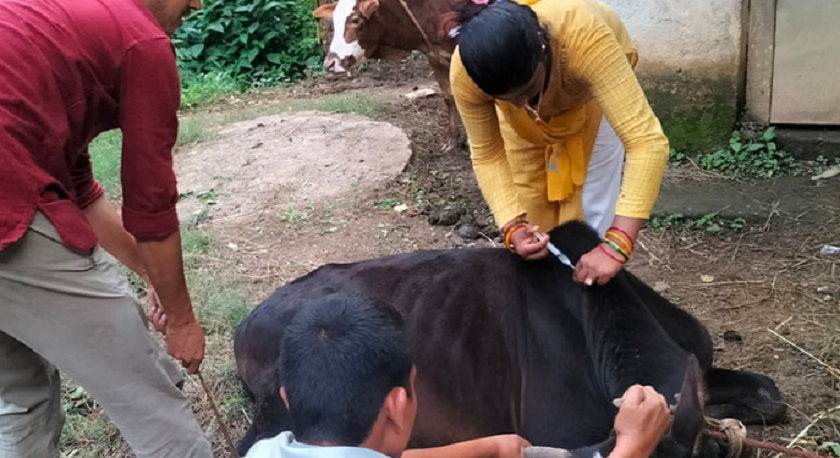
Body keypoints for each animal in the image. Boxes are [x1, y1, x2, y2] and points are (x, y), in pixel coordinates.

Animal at [316, 0, 462, 149]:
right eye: (334, 21)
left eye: (355, 20)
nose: (330, 64)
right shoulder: (434, 58)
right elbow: (449, 97)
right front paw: (451, 140)